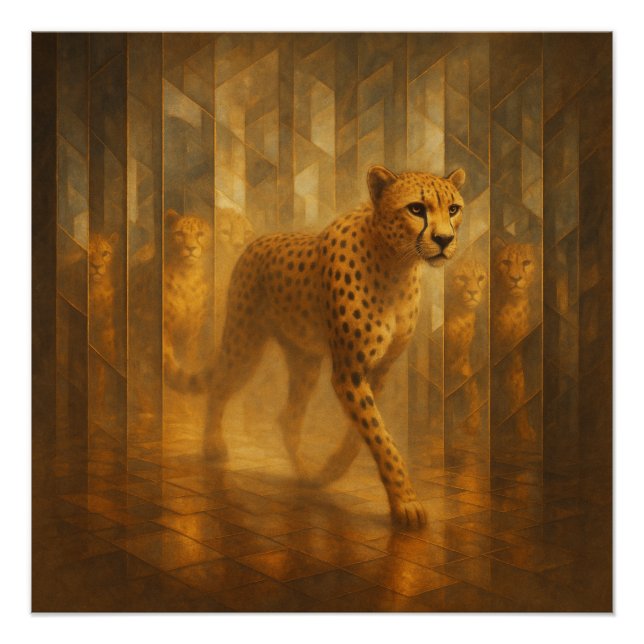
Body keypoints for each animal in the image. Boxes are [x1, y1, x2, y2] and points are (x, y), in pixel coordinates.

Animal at [178, 165, 466, 529]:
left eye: (453, 209)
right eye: (416, 208)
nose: (444, 240)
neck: (396, 266)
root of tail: (258, 239)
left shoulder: (378, 370)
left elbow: (365, 433)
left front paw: (336, 468)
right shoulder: (348, 371)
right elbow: (380, 435)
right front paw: (406, 501)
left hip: (304, 361)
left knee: (287, 417)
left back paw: (307, 476)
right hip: (245, 344)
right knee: (220, 386)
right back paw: (213, 446)